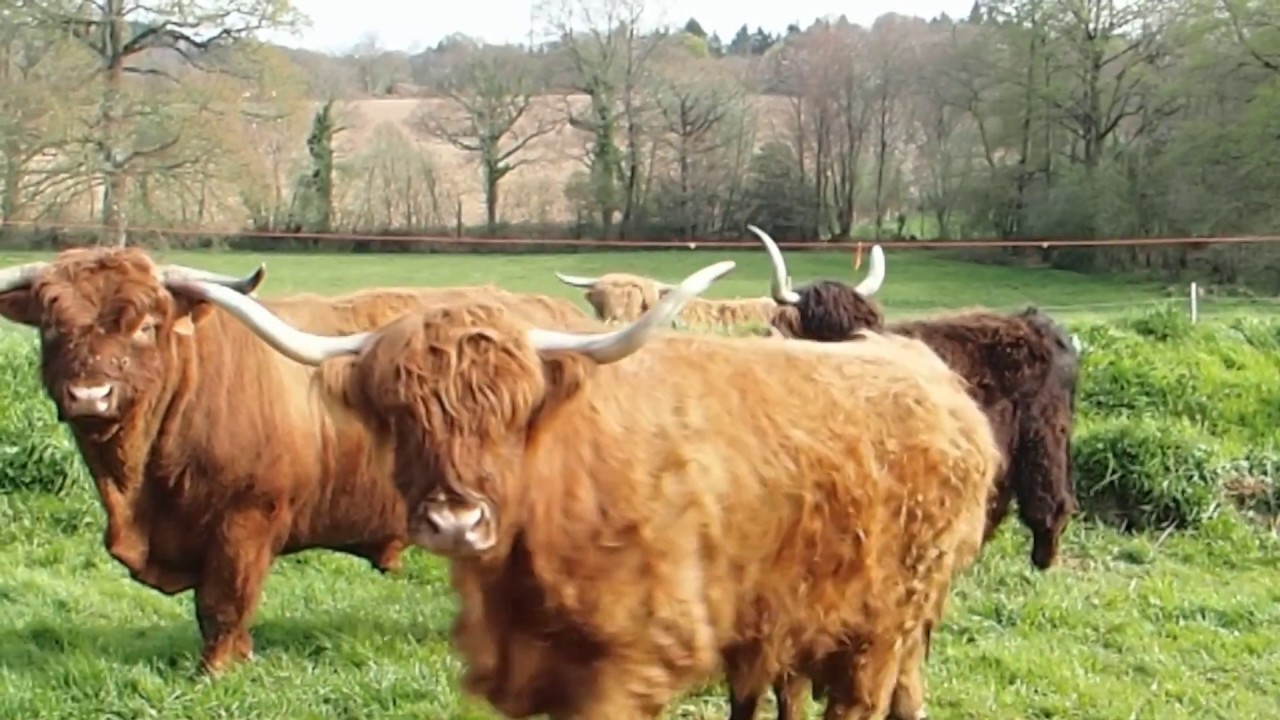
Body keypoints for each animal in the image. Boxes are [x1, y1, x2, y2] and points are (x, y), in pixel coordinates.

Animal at [0, 246, 600, 675]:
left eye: (145, 325)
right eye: (52, 326)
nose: (90, 394)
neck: (137, 489)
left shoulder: (245, 521)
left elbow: (223, 604)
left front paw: (217, 671)